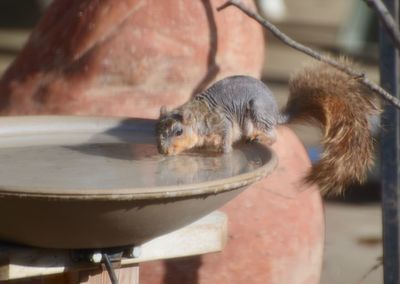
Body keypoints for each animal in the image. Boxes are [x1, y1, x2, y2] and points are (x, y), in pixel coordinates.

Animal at [155, 62, 380, 195]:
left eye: (178, 132)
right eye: (157, 129)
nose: (162, 151)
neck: (199, 117)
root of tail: (274, 114)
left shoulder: (222, 123)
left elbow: (226, 140)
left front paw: (224, 153)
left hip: (257, 111)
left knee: (274, 135)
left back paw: (260, 137)